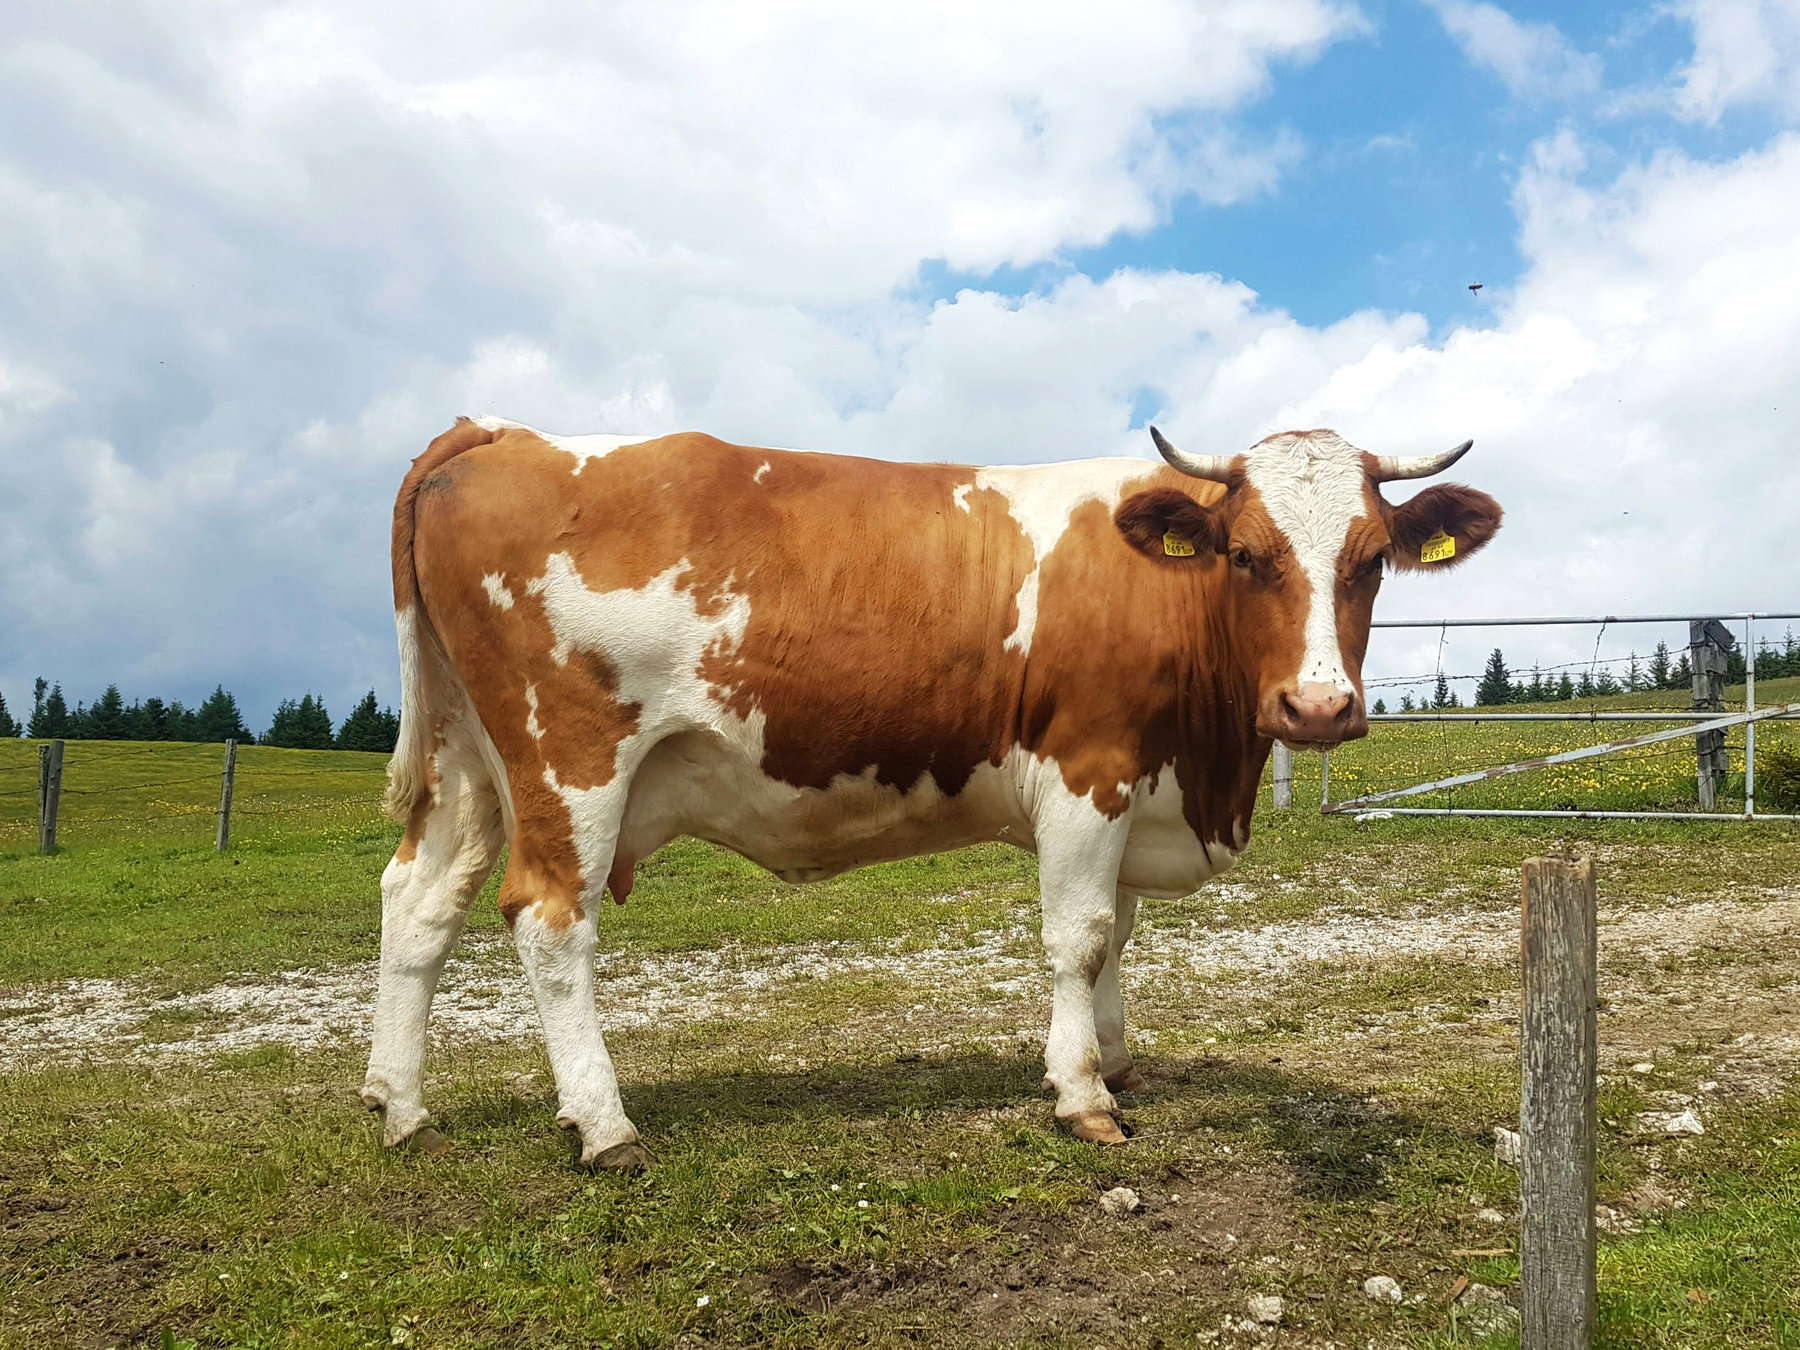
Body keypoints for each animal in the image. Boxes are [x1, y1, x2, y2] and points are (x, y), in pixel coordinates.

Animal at [360, 417, 1502, 1171]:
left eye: (1372, 561)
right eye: (1247, 554)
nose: (1319, 707)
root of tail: (502, 434)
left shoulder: (1137, 790)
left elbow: (1119, 936)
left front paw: (1119, 1061)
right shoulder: (1088, 772)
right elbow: (1081, 937)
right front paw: (1082, 1095)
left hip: (471, 765)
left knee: (417, 902)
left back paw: (400, 1105)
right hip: (570, 761)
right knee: (549, 920)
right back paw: (604, 1127)